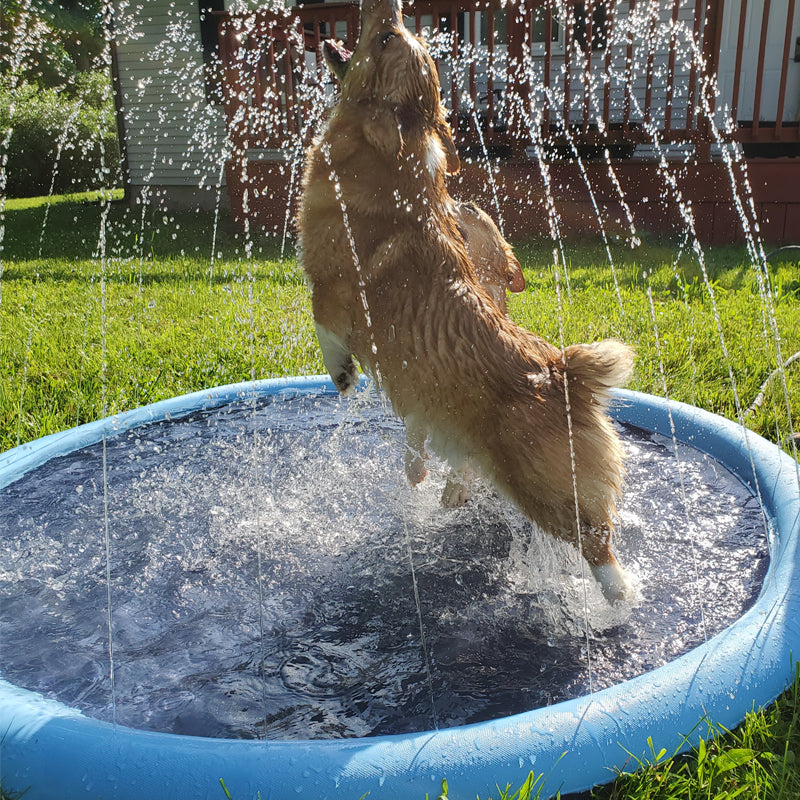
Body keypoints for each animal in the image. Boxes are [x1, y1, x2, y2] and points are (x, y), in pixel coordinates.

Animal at [296, 0, 636, 600]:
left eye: (385, 39)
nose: (391, 5)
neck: (387, 155)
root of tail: (565, 375)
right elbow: (413, 441)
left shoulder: (333, 290)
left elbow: (325, 329)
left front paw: (342, 374)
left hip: (545, 491)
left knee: (599, 546)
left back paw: (617, 602)